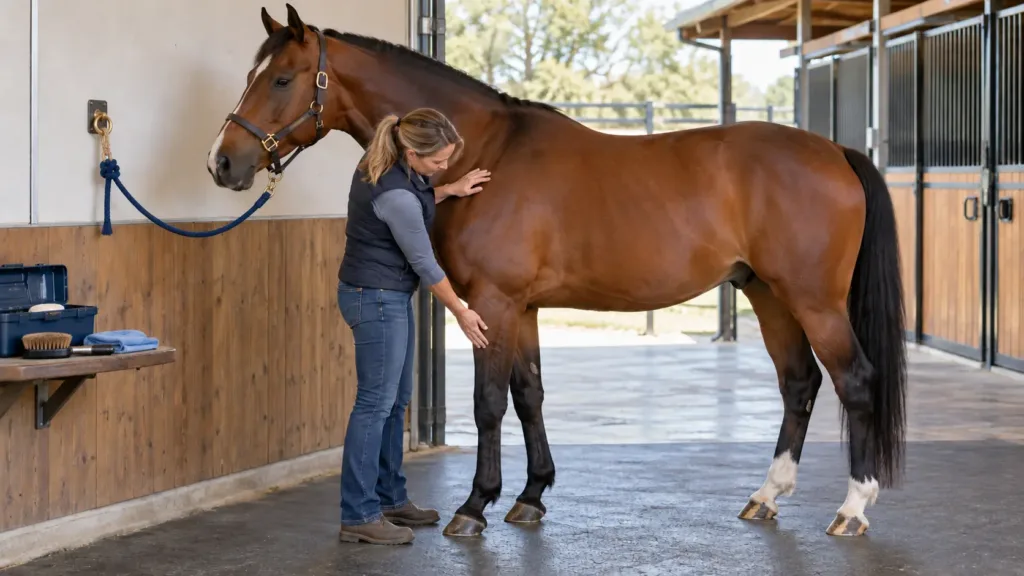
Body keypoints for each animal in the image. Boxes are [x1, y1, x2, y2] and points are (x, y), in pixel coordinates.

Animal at [206, 4, 907, 538]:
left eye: (282, 80)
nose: (223, 162)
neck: (489, 151)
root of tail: (836, 152)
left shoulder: (493, 303)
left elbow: (489, 403)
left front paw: (474, 506)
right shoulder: (524, 308)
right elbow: (529, 395)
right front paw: (531, 496)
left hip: (813, 301)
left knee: (855, 381)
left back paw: (852, 508)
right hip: (768, 295)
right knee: (799, 384)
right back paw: (766, 496)